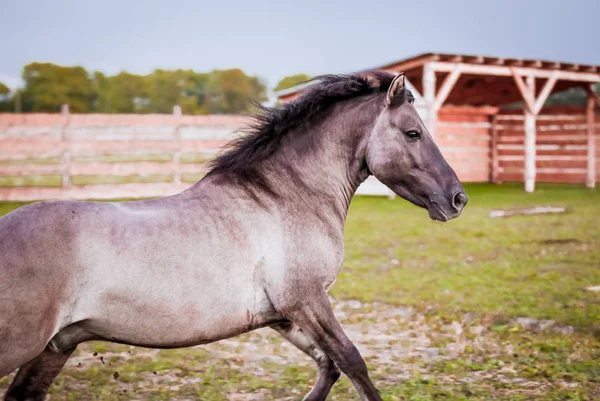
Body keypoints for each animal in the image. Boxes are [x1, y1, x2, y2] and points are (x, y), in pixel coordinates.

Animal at [0, 72, 468, 400]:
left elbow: (329, 366)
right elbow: (354, 364)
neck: (287, 196)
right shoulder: (307, 299)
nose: (458, 198)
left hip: (56, 346)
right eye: (413, 133)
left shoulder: (283, 314)